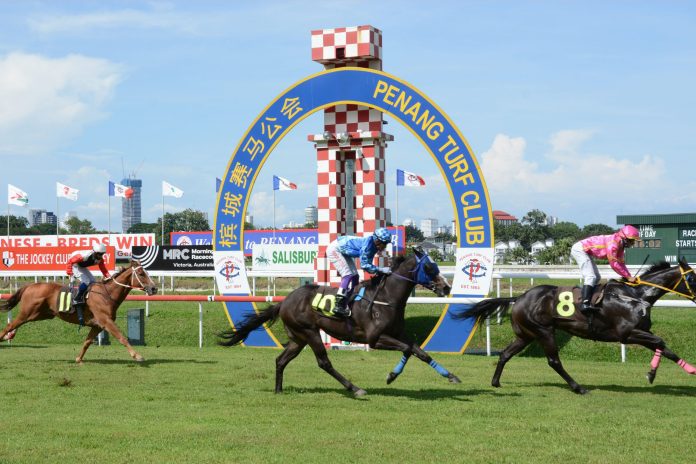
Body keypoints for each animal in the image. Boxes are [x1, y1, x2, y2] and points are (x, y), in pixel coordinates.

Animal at [0, 260, 157, 362]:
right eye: (141, 274)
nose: (154, 288)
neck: (106, 294)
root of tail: (29, 286)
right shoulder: (106, 321)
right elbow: (121, 337)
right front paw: (137, 356)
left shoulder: (97, 325)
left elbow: (87, 342)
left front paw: (78, 358)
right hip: (27, 313)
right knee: (9, 325)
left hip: (39, 314)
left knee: (14, 326)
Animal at [218, 248, 456, 396]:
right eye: (429, 268)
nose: (446, 287)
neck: (386, 297)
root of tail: (285, 301)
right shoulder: (376, 339)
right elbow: (408, 349)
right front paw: (392, 375)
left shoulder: (397, 334)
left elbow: (419, 351)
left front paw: (451, 376)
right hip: (310, 332)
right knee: (324, 363)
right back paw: (355, 388)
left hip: (298, 338)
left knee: (281, 360)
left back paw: (278, 390)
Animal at [456, 260, 696, 394]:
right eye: (692, 278)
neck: (636, 296)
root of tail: (520, 297)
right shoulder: (627, 334)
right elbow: (661, 342)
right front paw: (651, 374)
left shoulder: (641, 332)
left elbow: (666, 349)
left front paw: (689, 369)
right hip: (544, 331)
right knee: (554, 361)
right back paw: (578, 387)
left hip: (526, 335)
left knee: (505, 354)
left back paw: (495, 382)